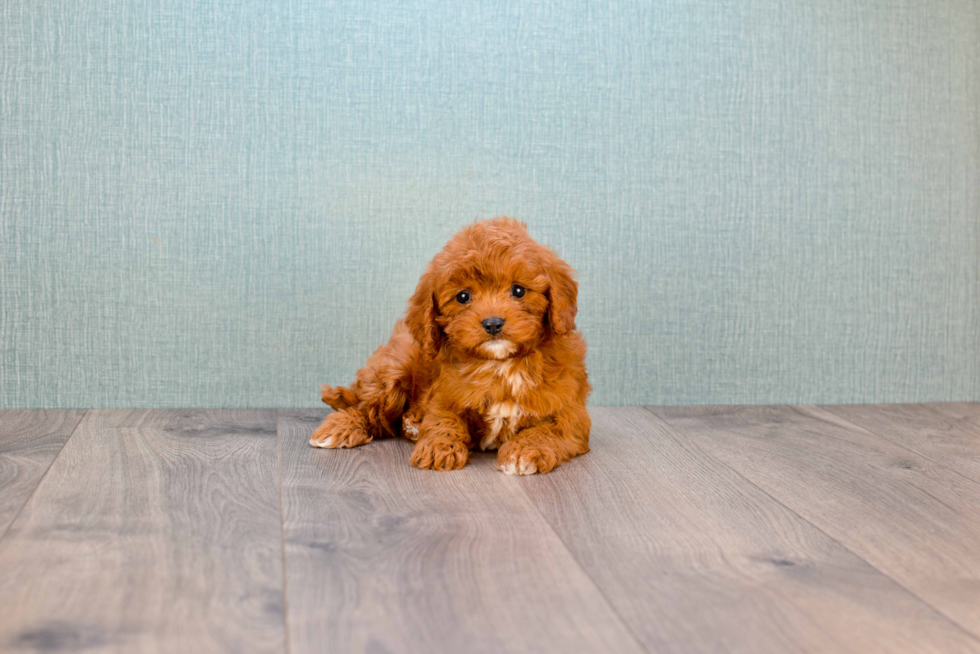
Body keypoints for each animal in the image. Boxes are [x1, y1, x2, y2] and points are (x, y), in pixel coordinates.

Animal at [312, 219, 588, 476]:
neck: (501, 364)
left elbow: (548, 430)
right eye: (463, 296)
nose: (493, 323)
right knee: (366, 408)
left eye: (518, 290)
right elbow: (443, 420)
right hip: (393, 370)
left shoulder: (571, 413)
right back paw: (340, 428)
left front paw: (523, 452)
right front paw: (438, 448)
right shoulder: (444, 397)